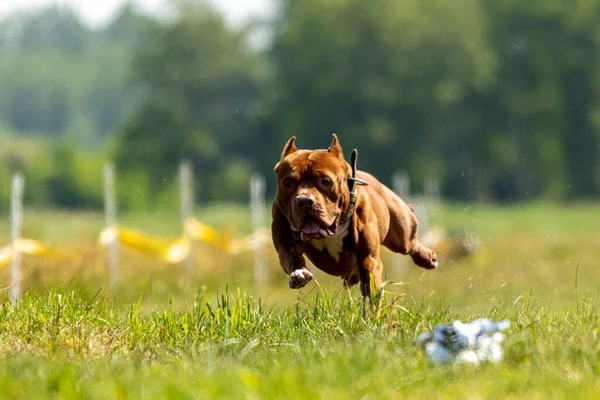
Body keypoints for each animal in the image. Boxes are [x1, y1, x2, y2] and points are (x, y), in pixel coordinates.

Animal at [270, 134, 436, 306]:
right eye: (288, 183)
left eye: (325, 181)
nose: (304, 201)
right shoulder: (286, 247)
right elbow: (292, 259)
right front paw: (299, 274)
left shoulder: (368, 260)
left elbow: (373, 291)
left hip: (401, 234)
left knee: (411, 244)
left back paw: (428, 259)